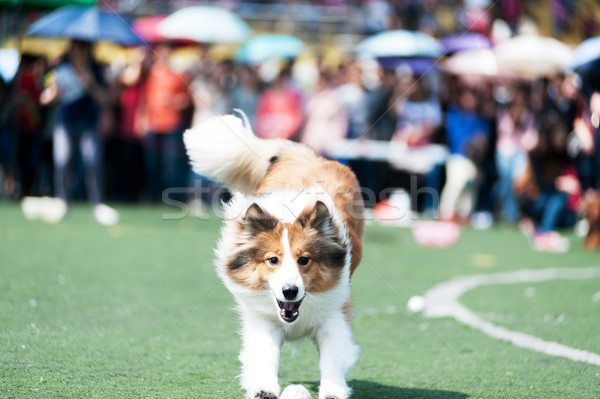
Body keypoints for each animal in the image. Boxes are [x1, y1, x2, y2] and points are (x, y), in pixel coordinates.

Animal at [183, 114, 364, 398]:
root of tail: (304, 155)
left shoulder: (334, 314)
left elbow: (333, 358)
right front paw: (263, 389)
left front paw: (332, 391)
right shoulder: (264, 321)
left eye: (304, 260)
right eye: (272, 260)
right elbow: (264, 357)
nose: (290, 292)